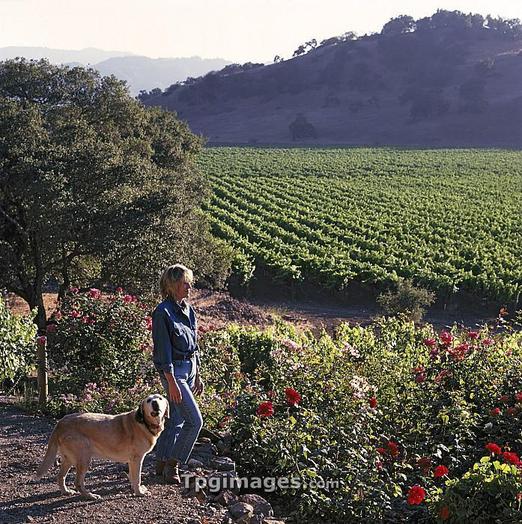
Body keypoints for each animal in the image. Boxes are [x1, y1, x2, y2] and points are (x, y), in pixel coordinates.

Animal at [34, 392, 168, 500]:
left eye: (160, 398)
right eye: (148, 400)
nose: (155, 403)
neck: (144, 422)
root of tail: (61, 422)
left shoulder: (132, 461)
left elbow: (133, 477)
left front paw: (136, 489)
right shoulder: (137, 459)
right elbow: (137, 478)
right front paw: (139, 492)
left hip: (69, 459)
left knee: (60, 476)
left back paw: (66, 491)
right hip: (84, 459)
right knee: (78, 482)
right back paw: (90, 496)